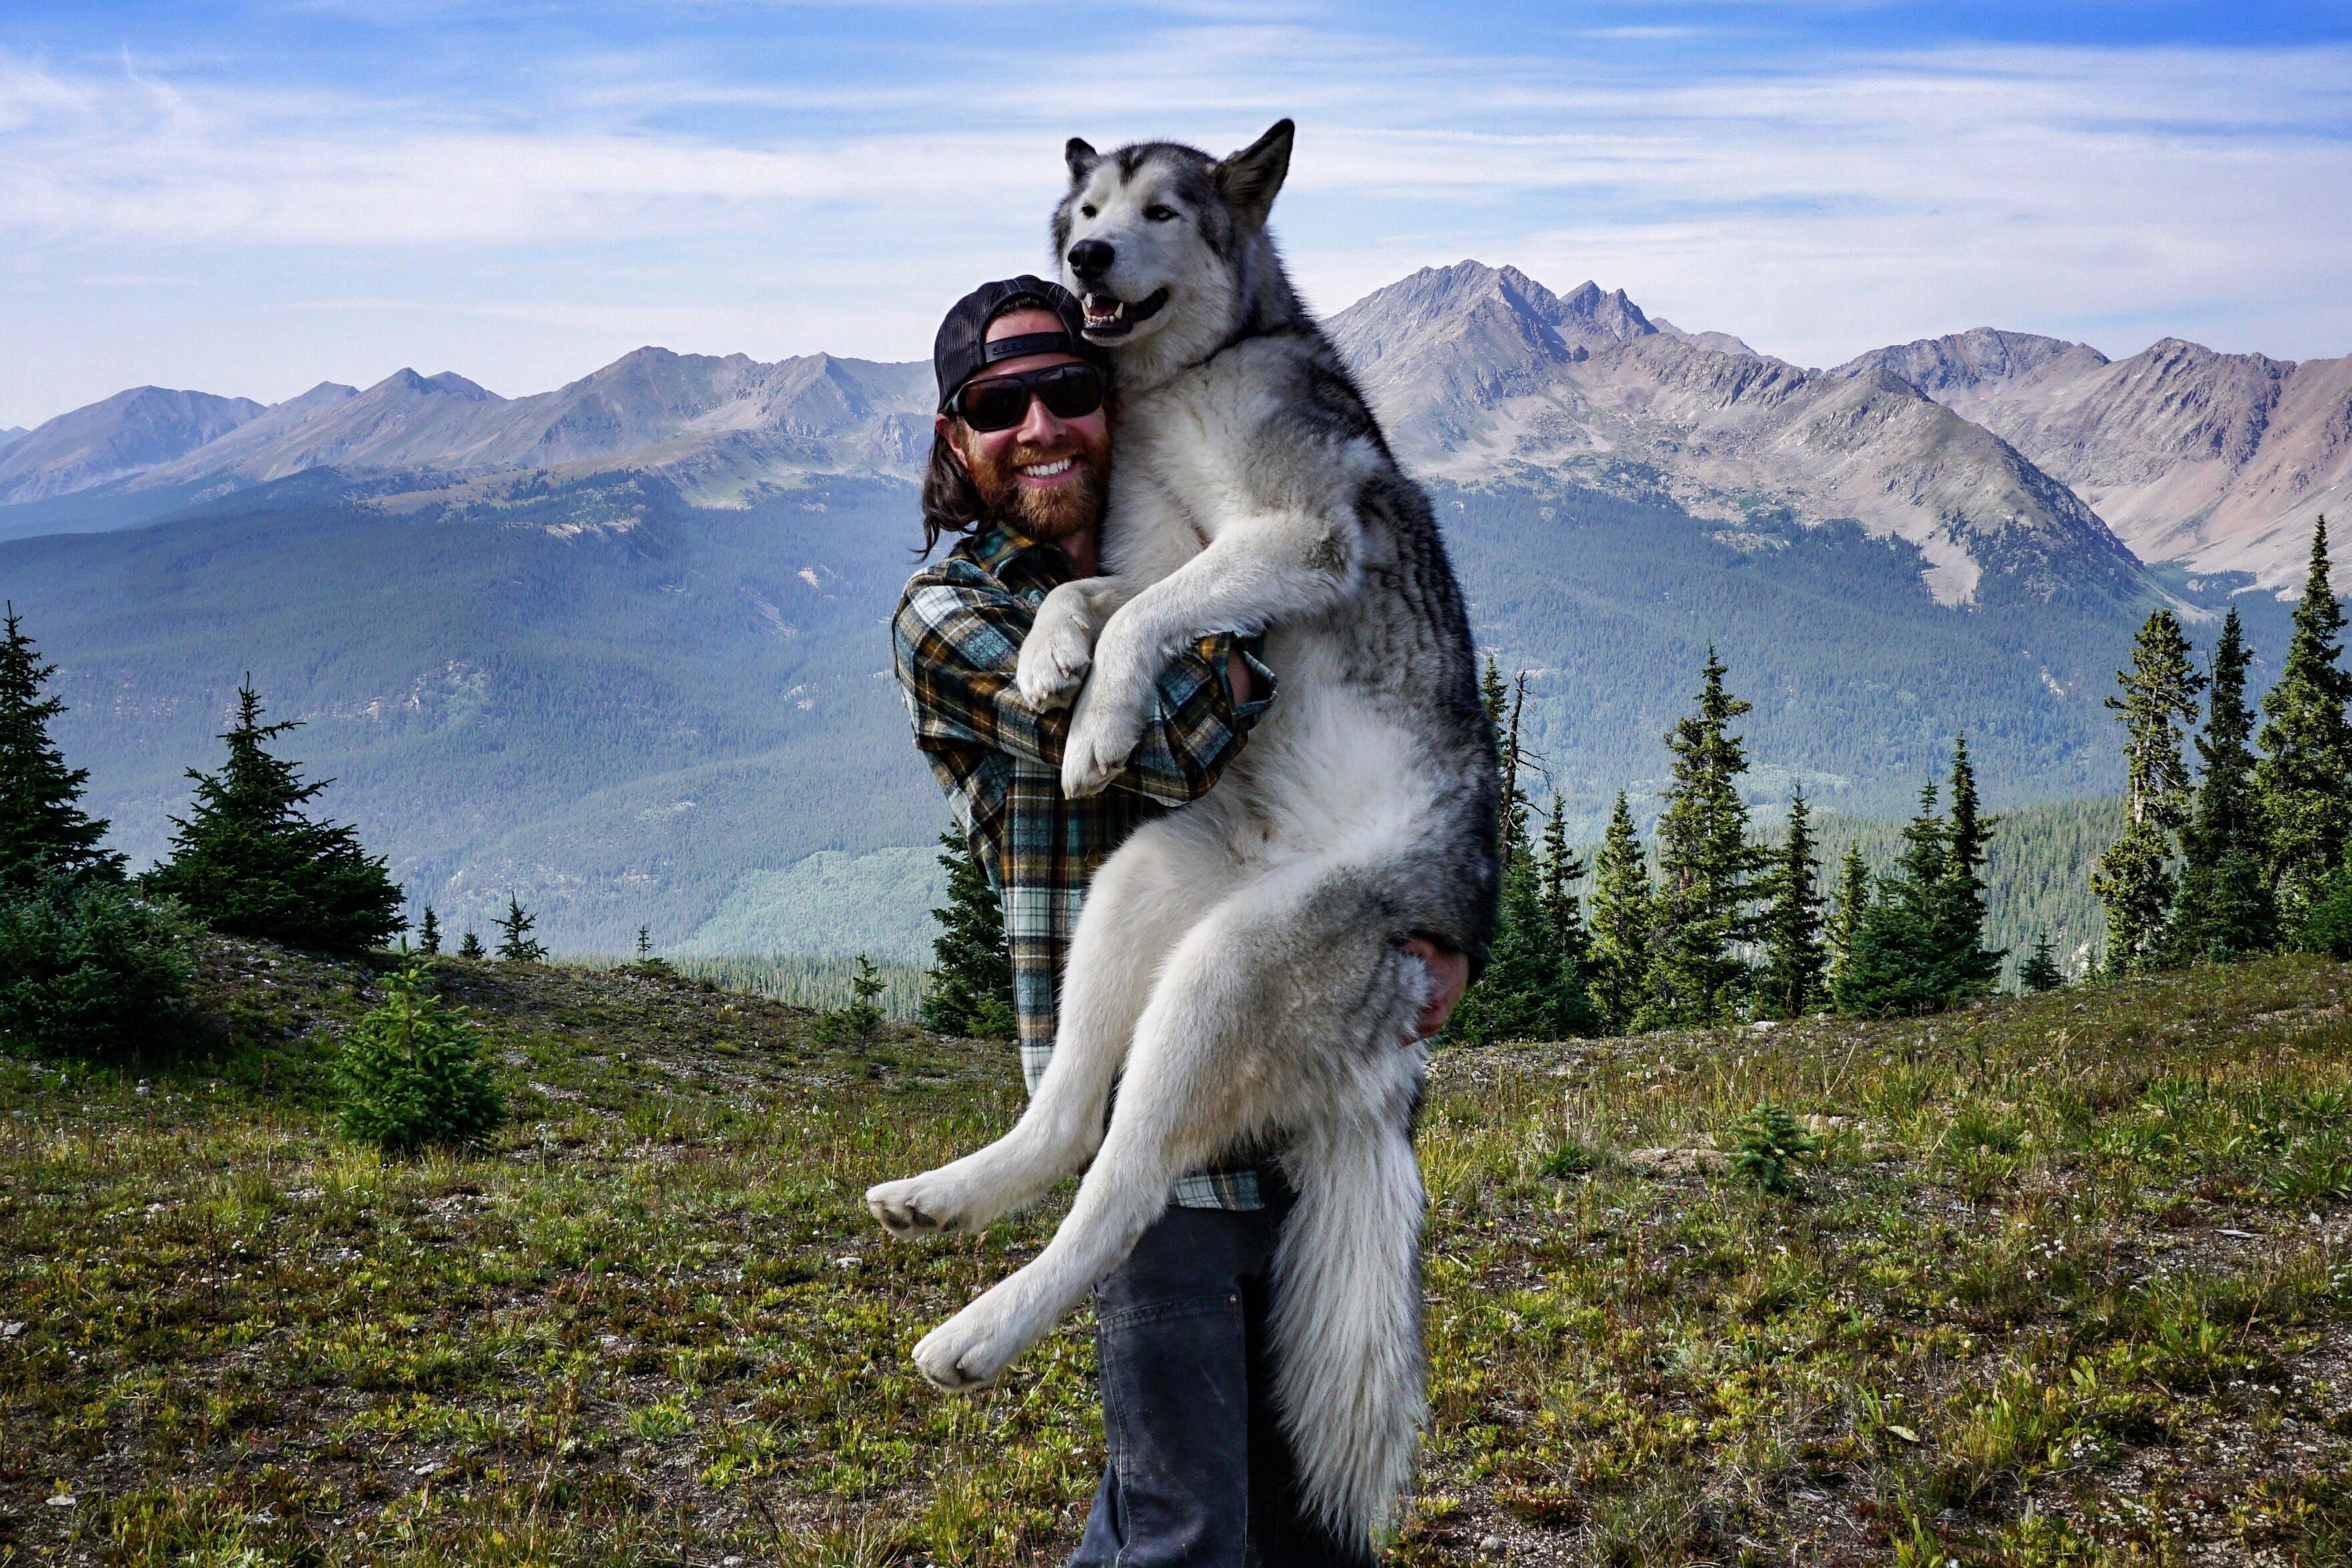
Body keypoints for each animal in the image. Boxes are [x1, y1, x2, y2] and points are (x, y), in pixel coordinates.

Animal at [874, 123, 1496, 1542]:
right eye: (1087, 209)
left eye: (1160, 210)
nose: (1086, 260)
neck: (1184, 381)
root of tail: (1388, 1068)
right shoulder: (1154, 541)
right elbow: (1101, 593)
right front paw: (1044, 662)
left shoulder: (1292, 537)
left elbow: (1154, 612)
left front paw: (1097, 720)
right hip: (1149, 879)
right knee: (1069, 1115)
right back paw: (947, 1193)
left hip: (1233, 965)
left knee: (1126, 1186)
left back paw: (977, 1333)